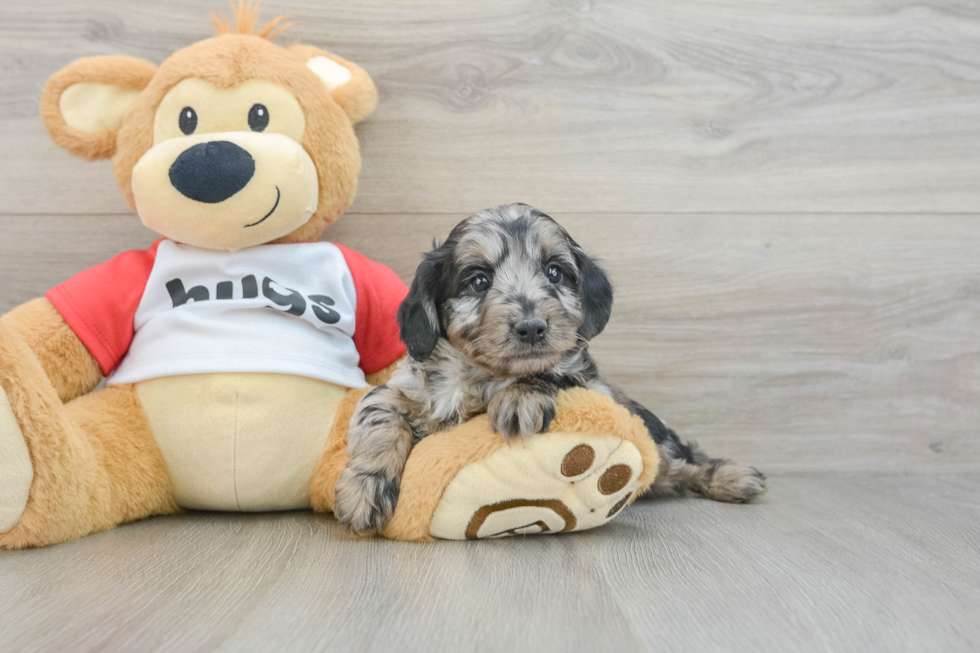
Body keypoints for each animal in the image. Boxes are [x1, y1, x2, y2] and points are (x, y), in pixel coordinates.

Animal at [334, 204, 764, 536]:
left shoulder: (591, 382)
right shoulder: (406, 388)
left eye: (555, 272)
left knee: (684, 459)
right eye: (478, 280)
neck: (480, 375)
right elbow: (378, 411)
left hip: (656, 435)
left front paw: (519, 397)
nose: (532, 328)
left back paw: (733, 478)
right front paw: (364, 489)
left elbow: (554, 371)